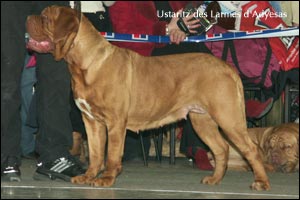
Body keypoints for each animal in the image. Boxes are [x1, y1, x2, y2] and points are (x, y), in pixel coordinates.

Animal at [25, 5, 270, 191]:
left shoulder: (115, 122)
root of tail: (227, 68)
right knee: (221, 149)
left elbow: (112, 154)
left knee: (251, 150)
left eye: (45, 18)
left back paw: (261, 182)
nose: (28, 17)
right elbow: (95, 153)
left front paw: (106, 179)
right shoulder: (91, 122)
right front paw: (89, 176)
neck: (84, 63)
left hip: (228, 118)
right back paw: (215, 179)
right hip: (202, 120)